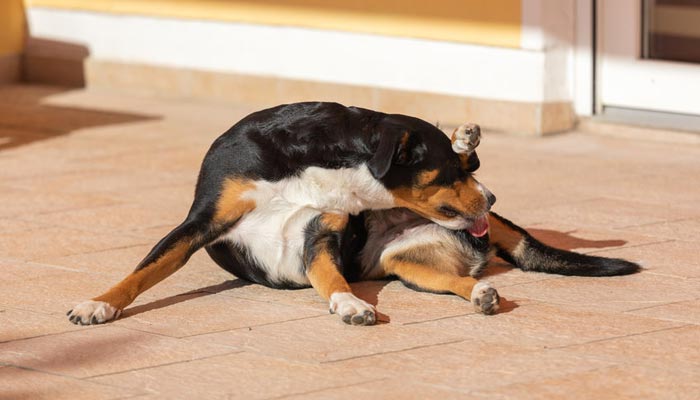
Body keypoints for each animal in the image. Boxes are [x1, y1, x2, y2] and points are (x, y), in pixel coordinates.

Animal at [67, 102, 640, 324]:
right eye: (444, 172)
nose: (492, 199)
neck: (313, 164)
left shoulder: (318, 236)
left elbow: (329, 277)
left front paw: (347, 305)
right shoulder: (201, 222)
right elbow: (142, 272)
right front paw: (100, 305)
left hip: (411, 262)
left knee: (461, 281)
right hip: (410, 264)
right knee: (456, 280)